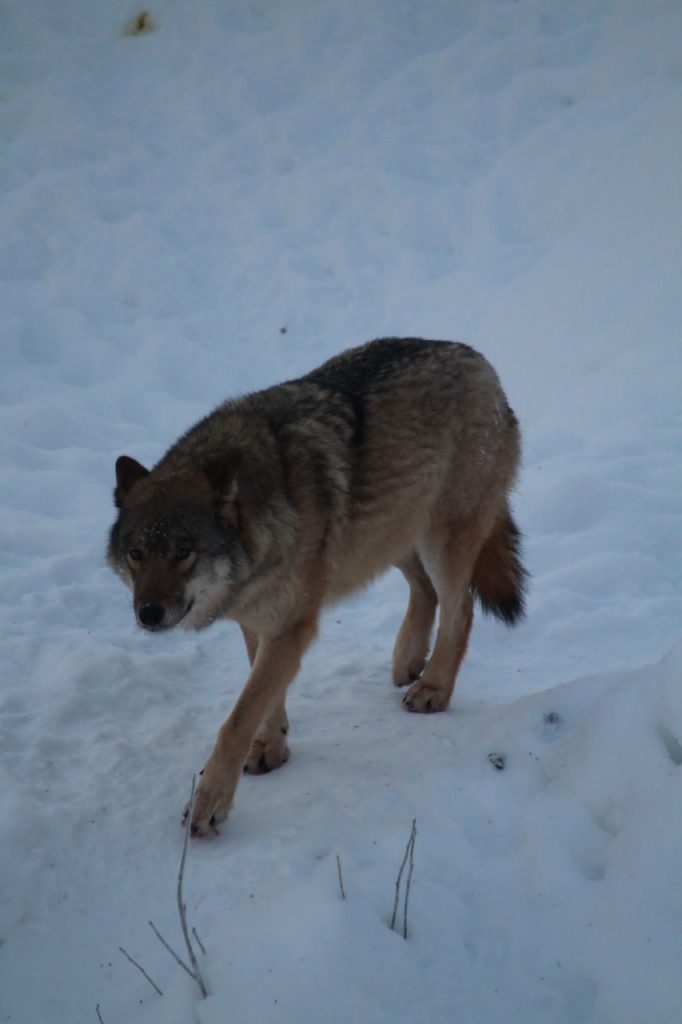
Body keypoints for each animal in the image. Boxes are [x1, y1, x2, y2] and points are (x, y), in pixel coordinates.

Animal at [107, 339, 524, 835]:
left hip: (439, 541)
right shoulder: (258, 621)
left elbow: (237, 718)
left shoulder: (290, 626)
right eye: (137, 553)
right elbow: (263, 699)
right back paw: (408, 660)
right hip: (388, 536)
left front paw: (209, 803)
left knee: (459, 608)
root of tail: (482, 363)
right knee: (425, 591)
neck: (265, 515)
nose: (148, 614)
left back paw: (434, 688)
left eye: (182, 552)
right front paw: (271, 747)